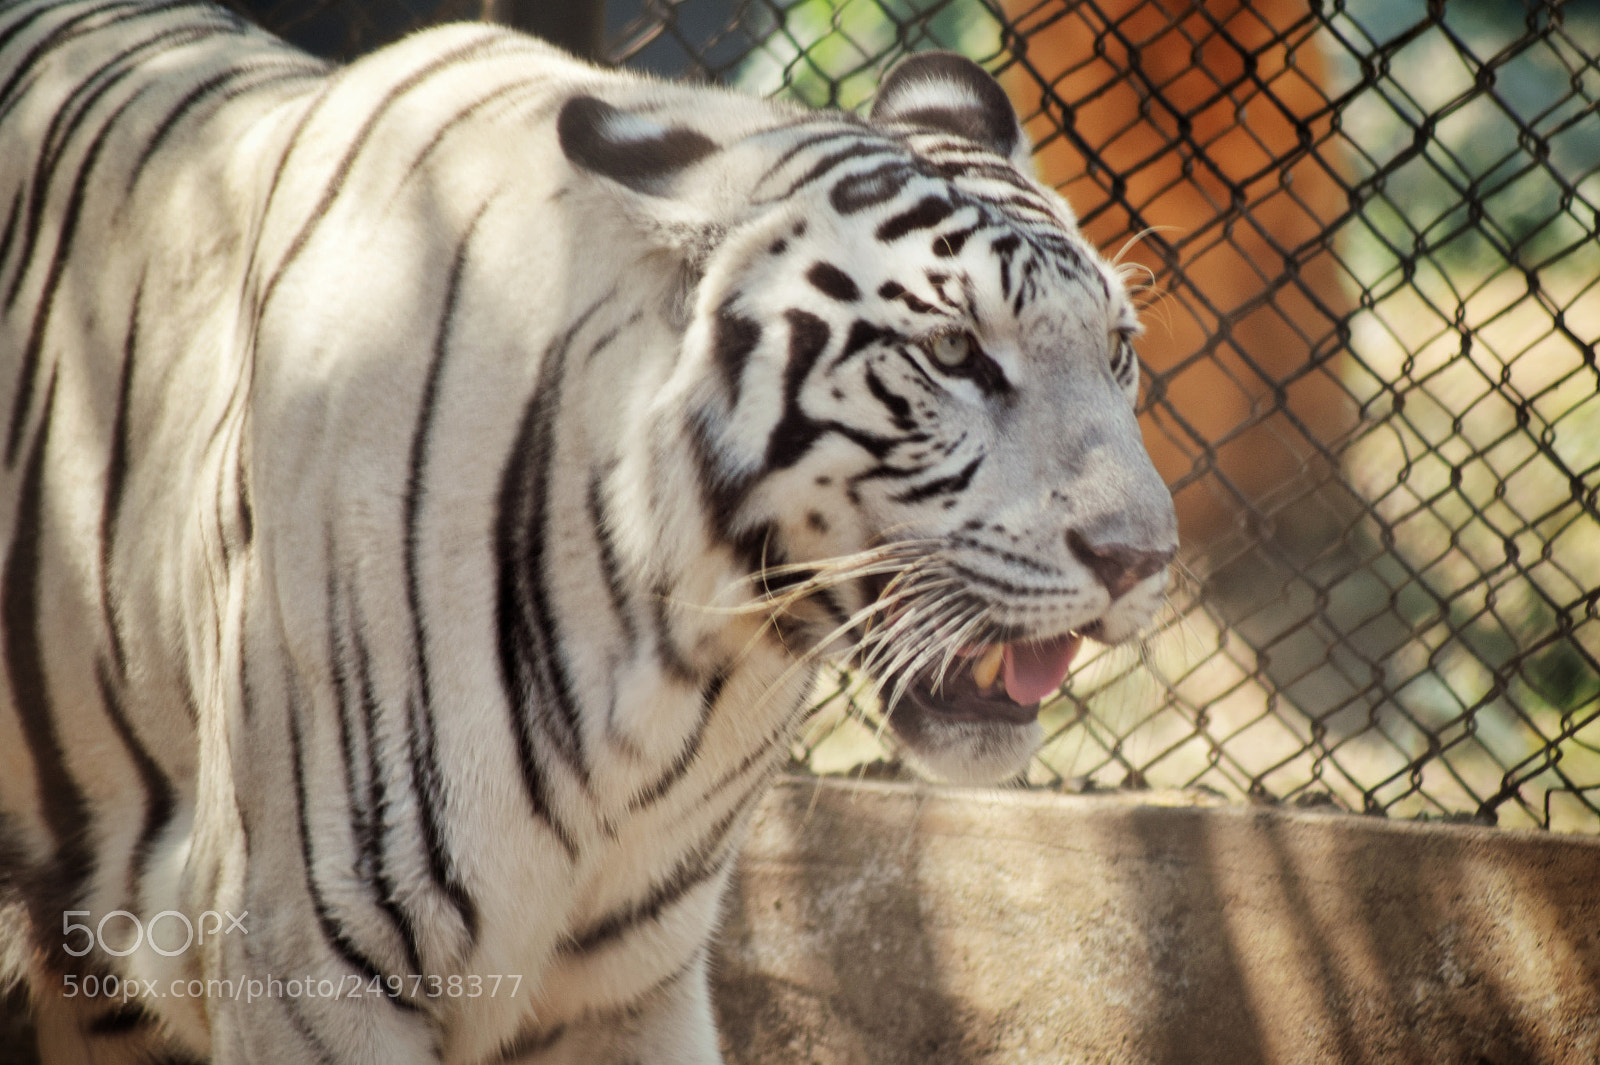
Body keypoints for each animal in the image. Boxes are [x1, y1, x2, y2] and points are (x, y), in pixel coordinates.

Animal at [0, 2, 1177, 1063]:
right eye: (951, 351)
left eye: (1118, 348)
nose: (1141, 561)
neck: (683, 668)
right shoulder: (303, 957)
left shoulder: (628, 979)